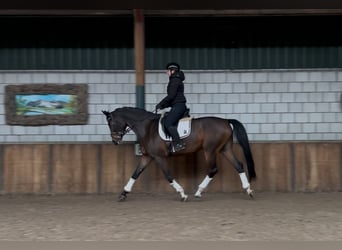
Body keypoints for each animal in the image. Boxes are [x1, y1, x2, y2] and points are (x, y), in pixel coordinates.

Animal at [102, 106, 256, 202]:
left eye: (110, 122)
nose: (115, 141)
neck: (147, 128)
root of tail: (226, 121)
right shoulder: (147, 157)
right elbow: (135, 173)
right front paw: (123, 194)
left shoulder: (159, 157)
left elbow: (168, 176)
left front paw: (182, 194)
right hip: (225, 149)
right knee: (239, 166)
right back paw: (248, 190)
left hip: (210, 150)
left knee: (213, 170)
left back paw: (198, 192)